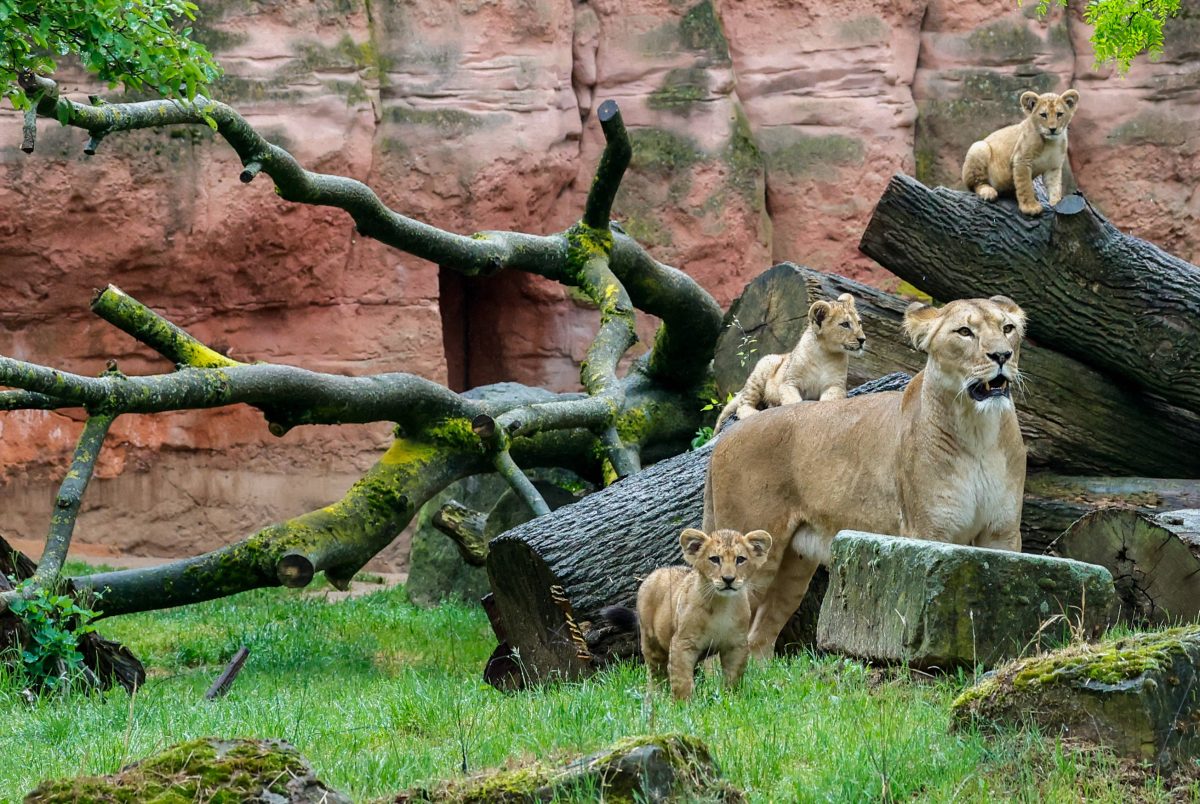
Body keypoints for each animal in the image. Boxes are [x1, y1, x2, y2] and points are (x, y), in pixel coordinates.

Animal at [700, 298, 1032, 657]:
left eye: (1007, 328)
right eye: (965, 332)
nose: (1002, 356)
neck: (978, 431)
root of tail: (724, 441)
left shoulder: (1002, 534)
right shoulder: (930, 532)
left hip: (794, 564)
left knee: (758, 637)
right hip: (749, 558)